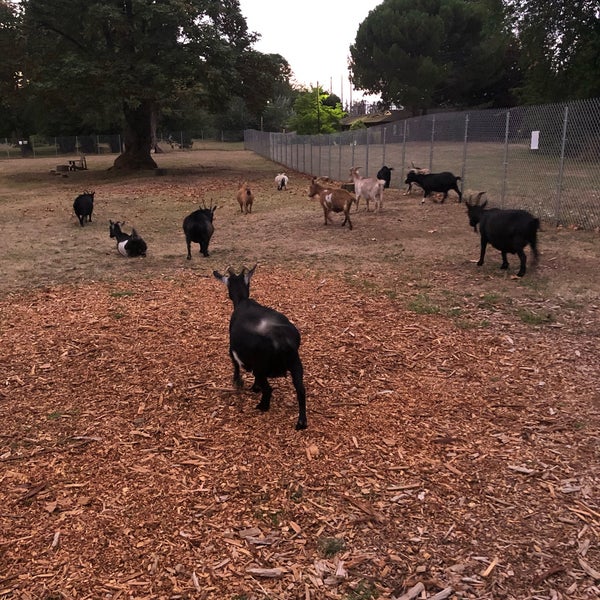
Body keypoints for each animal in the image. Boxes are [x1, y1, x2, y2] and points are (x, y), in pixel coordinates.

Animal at [213, 264, 308, 428]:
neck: (243, 301)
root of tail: (281, 340)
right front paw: (254, 387)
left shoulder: (233, 350)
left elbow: (235, 365)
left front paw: (238, 382)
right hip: (295, 362)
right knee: (301, 390)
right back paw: (301, 422)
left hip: (260, 367)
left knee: (269, 389)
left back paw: (262, 406)